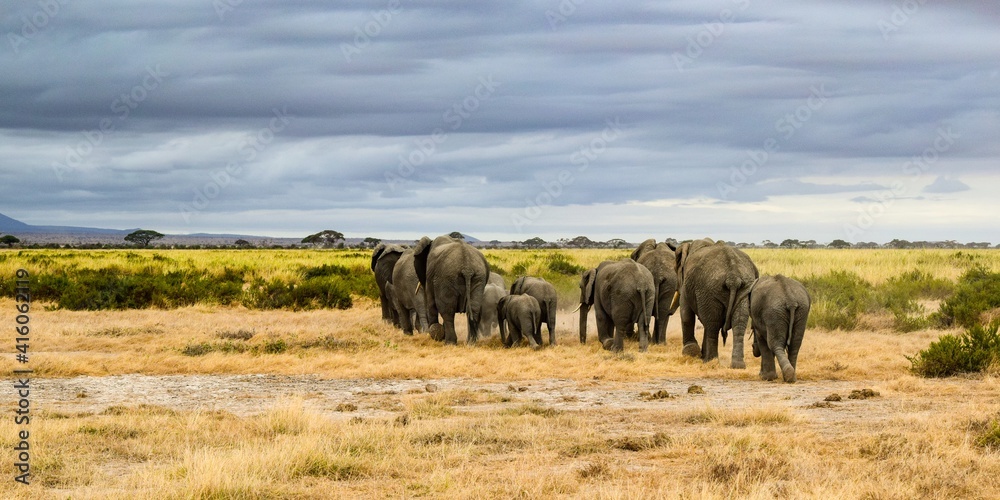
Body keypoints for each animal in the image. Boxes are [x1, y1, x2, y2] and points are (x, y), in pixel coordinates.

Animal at [667, 238, 759, 368]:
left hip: (708, 288)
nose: (669, 313)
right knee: (738, 323)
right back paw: (737, 366)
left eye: (676, 269)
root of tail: (733, 278)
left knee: (712, 324)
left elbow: (686, 314)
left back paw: (711, 361)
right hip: (743, 288)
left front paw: (690, 353)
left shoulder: (688, 286)